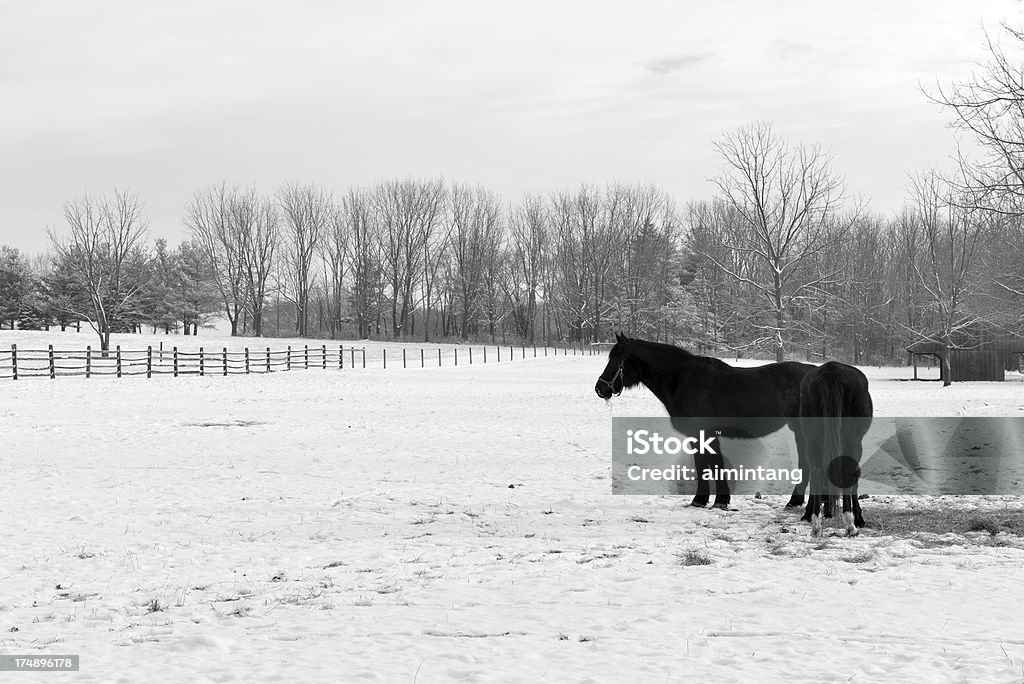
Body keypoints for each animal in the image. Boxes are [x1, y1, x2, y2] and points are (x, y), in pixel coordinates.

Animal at [598, 333, 811, 509]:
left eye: (617, 360)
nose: (600, 388)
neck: (681, 379)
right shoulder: (699, 435)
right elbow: (703, 464)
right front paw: (703, 500)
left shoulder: (704, 432)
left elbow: (712, 465)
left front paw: (716, 500)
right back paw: (796, 502)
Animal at [798, 360, 872, 536]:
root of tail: (831, 372)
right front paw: (858, 517)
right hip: (852, 440)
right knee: (848, 472)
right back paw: (850, 523)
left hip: (813, 438)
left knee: (816, 472)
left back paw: (816, 523)